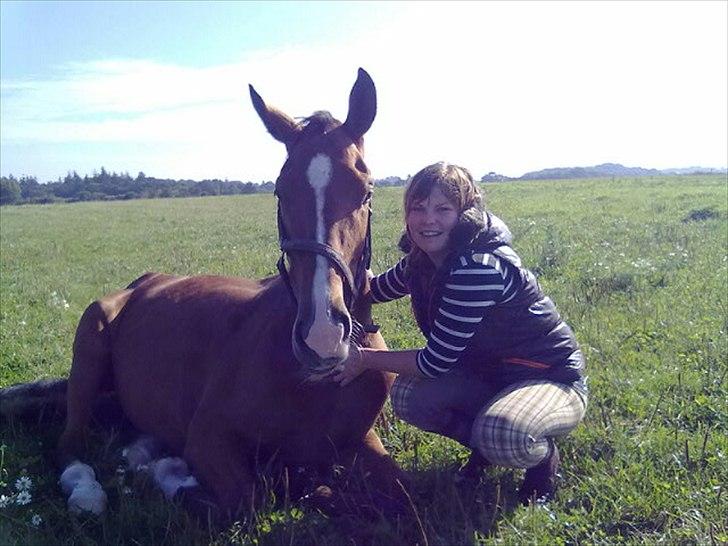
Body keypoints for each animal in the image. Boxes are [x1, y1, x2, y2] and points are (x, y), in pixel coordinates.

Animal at [49, 69, 406, 520]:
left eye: (366, 191)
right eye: (280, 191)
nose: (321, 336)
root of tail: (142, 282)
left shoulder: (361, 441)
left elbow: (402, 492)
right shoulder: (208, 438)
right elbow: (248, 501)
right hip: (88, 352)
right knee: (70, 444)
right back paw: (89, 489)